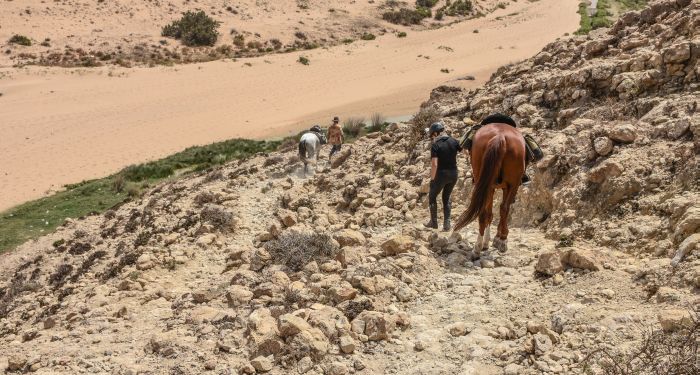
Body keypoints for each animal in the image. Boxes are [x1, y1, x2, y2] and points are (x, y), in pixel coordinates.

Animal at [454, 123, 524, 256]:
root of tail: (500, 135)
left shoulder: (493, 187)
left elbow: (490, 214)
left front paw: (491, 240)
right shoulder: (505, 187)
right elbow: (498, 211)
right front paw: (498, 237)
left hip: (488, 183)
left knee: (485, 212)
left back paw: (479, 246)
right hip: (512, 184)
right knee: (503, 208)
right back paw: (499, 241)